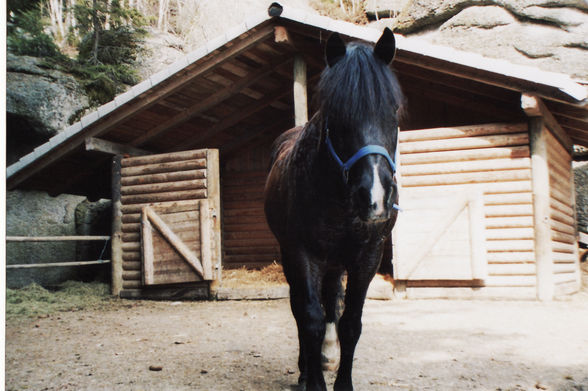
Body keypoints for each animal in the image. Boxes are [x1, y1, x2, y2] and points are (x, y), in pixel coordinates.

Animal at [266, 28, 404, 391]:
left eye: (393, 111)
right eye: (337, 115)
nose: (375, 196)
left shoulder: (366, 257)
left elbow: (350, 323)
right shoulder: (302, 254)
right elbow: (310, 320)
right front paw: (313, 381)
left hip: (334, 264)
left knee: (330, 305)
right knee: (301, 310)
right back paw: (305, 368)